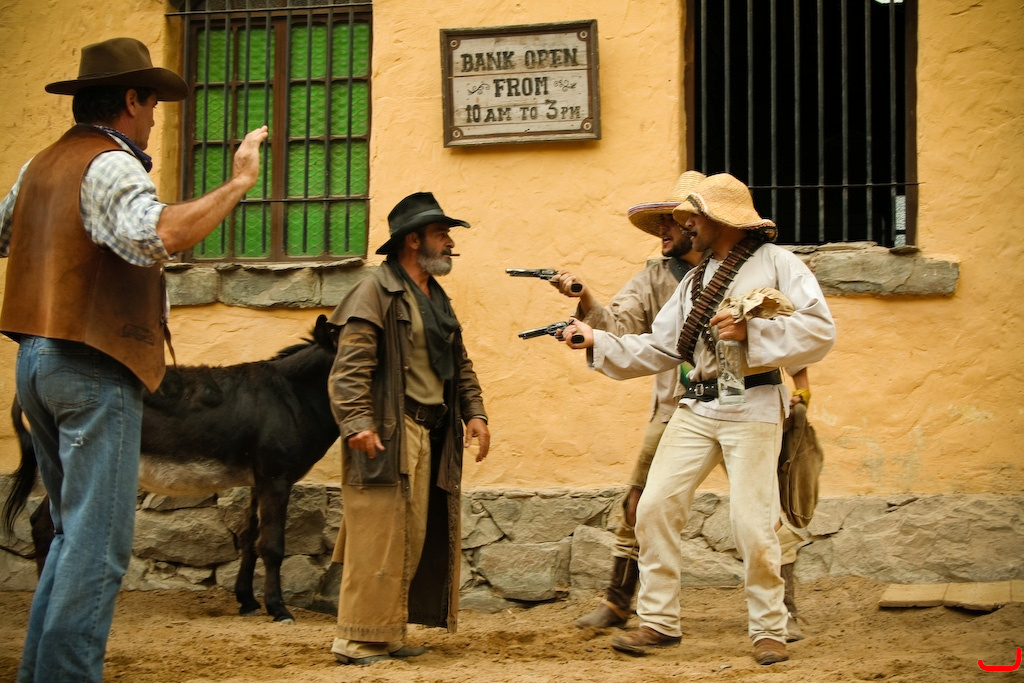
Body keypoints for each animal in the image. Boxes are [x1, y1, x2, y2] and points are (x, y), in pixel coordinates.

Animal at [2, 314, 341, 623]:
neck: (292, 397)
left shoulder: (259, 480)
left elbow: (249, 540)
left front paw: (247, 601)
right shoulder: (275, 477)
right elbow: (272, 546)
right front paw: (279, 609)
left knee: (42, 524)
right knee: (45, 526)